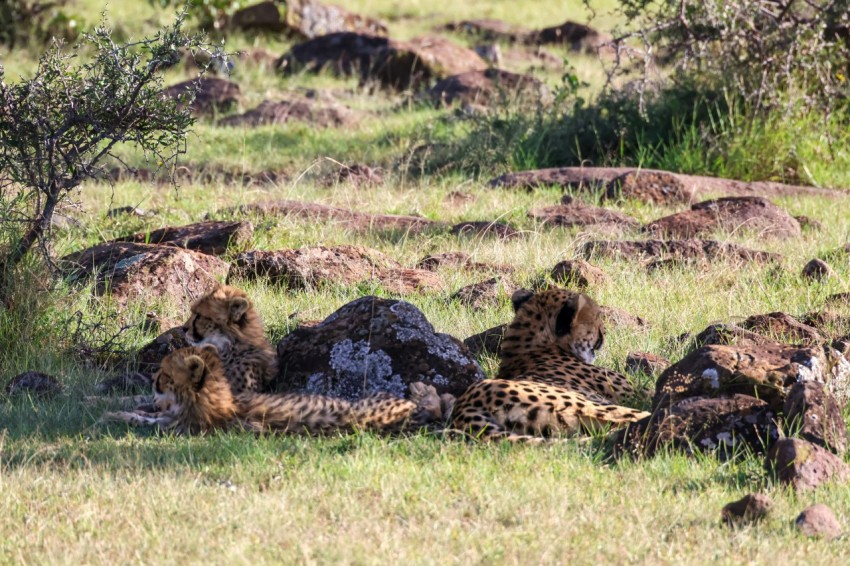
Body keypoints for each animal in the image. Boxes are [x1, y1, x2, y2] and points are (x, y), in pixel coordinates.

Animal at [104, 344, 444, 438]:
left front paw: (112, 414)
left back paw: (422, 387)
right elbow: (144, 412)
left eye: (164, 373)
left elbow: (140, 418)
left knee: (435, 404)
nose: (153, 378)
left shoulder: (177, 426)